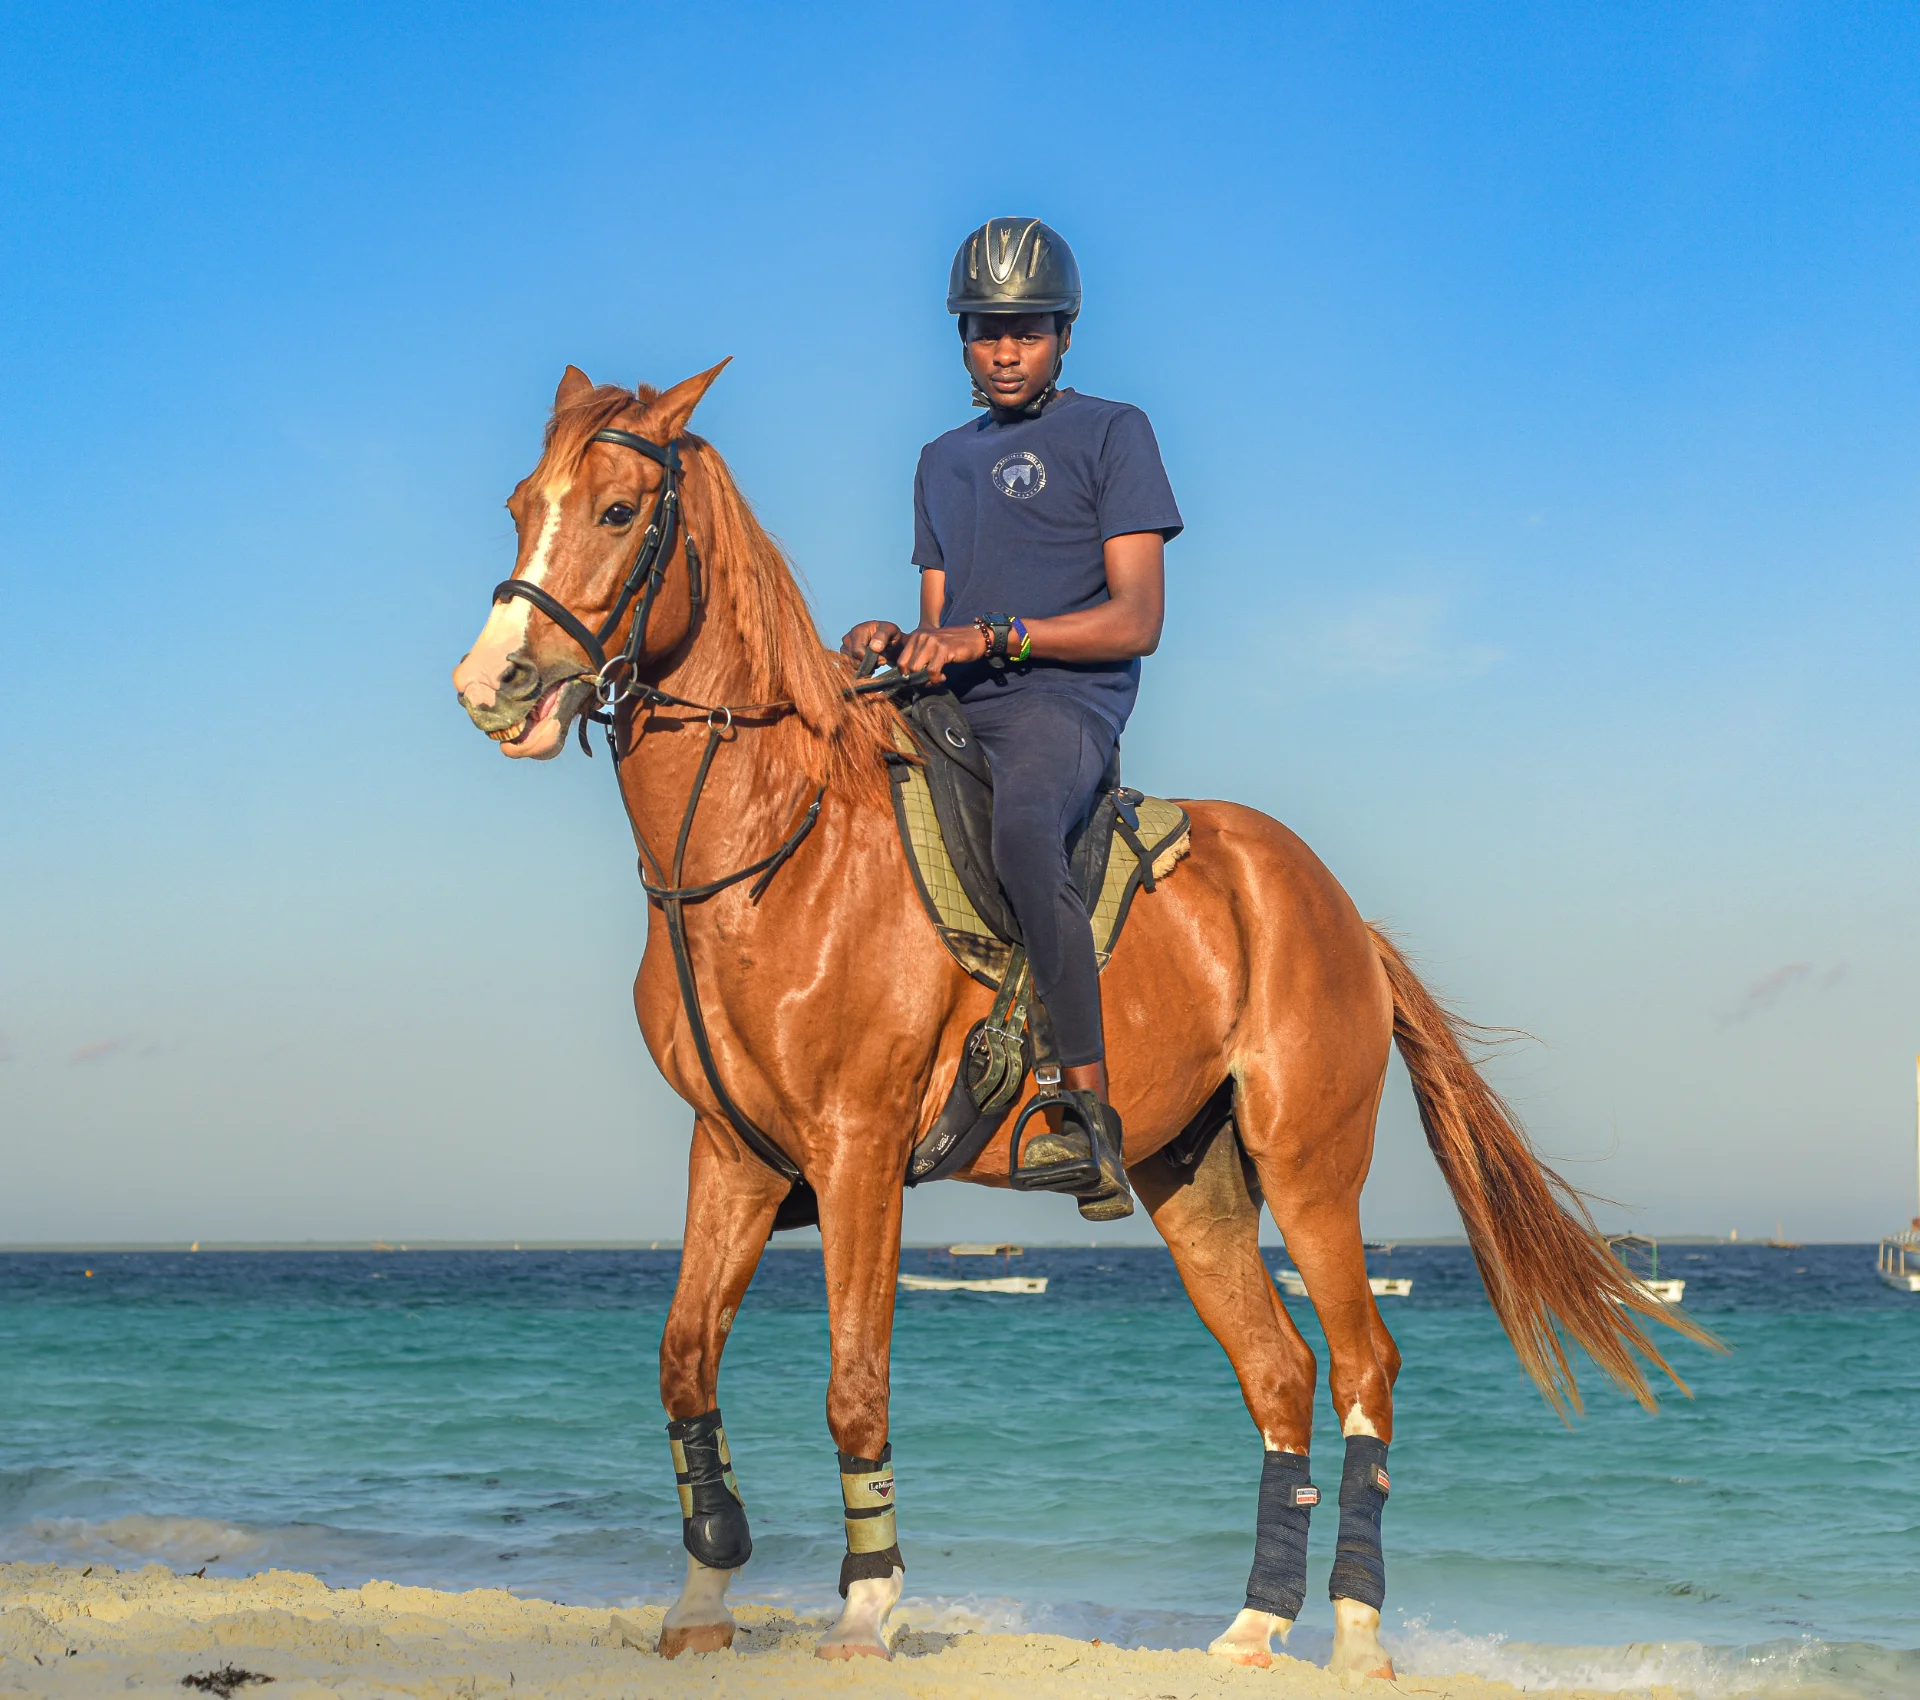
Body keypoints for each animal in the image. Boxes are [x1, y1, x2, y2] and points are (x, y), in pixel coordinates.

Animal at [452, 362, 1713, 1673]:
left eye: (614, 512)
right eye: (521, 504)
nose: (489, 685)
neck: (765, 848)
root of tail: (1338, 907)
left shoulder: (856, 1150)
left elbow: (857, 1377)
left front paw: (864, 1605)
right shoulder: (734, 1153)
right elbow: (684, 1359)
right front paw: (704, 1595)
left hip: (1310, 1166)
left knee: (1365, 1362)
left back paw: (1358, 1631)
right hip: (1192, 1179)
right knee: (1280, 1370)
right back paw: (1255, 1624)